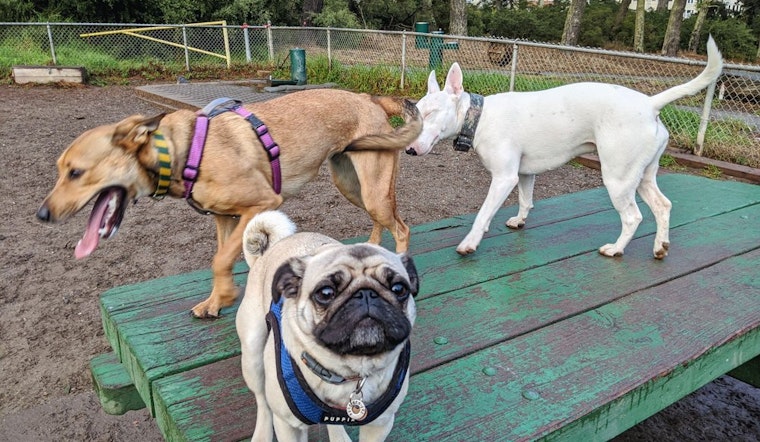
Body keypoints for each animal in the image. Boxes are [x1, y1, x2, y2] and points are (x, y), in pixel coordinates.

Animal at [35, 89, 422, 318]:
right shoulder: (224, 218)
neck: (181, 150)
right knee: (382, 222)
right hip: (352, 186)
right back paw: (371, 247)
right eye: (60, 170)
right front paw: (215, 300)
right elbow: (222, 256)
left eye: (76, 172)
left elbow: (220, 260)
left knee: (402, 226)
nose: (41, 215)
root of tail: (370, 99)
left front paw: (224, 295)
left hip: (373, 191)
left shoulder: (262, 203)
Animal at [410, 38, 724, 258]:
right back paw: (660, 247)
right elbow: (526, 200)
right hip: (642, 175)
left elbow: (483, 214)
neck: (479, 115)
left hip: (618, 179)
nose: (410, 151)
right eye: (416, 113)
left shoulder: (504, 178)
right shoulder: (524, 174)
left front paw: (469, 243)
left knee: (633, 217)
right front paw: (520, 221)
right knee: (662, 205)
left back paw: (616, 249)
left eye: (431, 113)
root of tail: (650, 103)